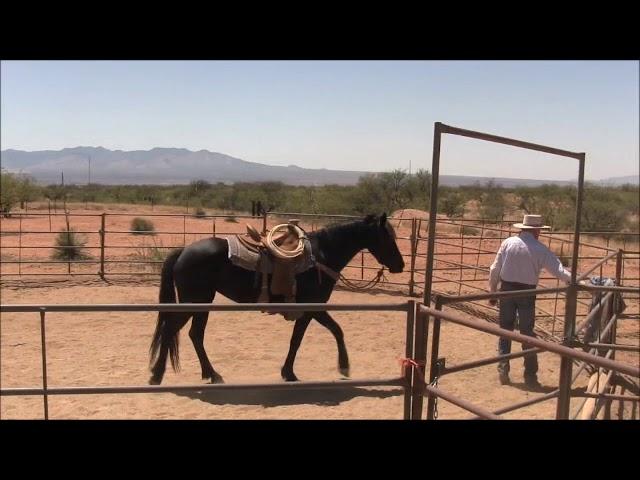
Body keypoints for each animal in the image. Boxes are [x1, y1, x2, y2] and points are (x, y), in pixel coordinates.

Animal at [148, 212, 402, 384]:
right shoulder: (312, 308)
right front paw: (339, 367)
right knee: (171, 330)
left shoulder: (312, 310)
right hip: (194, 302)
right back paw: (157, 376)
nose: (400, 265)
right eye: (388, 238)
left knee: (194, 335)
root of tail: (183, 251)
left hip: (203, 303)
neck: (321, 256)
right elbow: (312, 336)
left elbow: (320, 334)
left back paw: (211, 374)